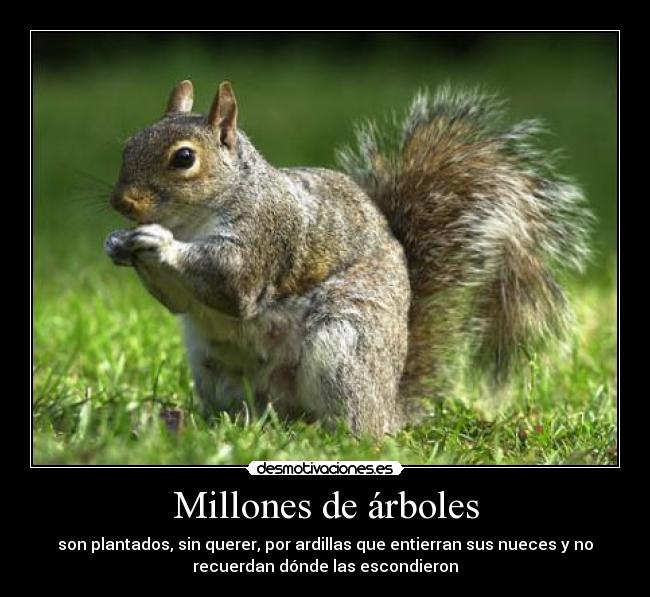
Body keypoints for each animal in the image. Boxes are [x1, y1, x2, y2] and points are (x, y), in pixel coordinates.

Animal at [105, 79, 593, 435]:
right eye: (127, 144)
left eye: (184, 158)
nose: (121, 203)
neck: (192, 221)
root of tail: (390, 407)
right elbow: (179, 301)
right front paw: (117, 242)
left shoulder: (266, 236)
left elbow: (230, 284)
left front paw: (157, 242)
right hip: (214, 367)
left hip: (344, 344)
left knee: (357, 425)